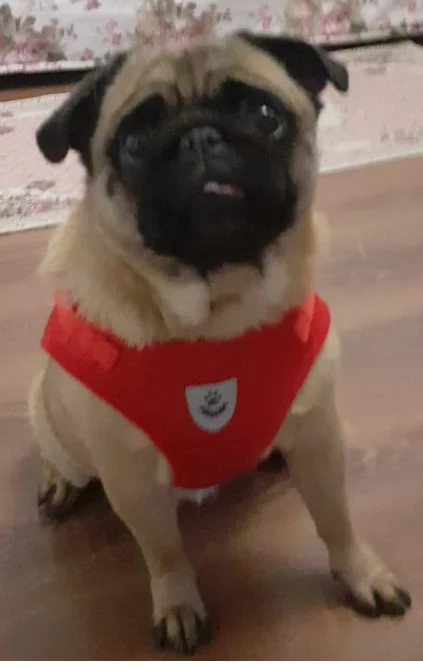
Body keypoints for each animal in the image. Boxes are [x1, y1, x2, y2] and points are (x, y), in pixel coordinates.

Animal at [29, 32, 411, 654]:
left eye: (264, 114)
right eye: (134, 142)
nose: (200, 136)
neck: (219, 312)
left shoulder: (321, 442)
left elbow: (337, 519)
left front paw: (361, 573)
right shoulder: (134, 484)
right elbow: (165, 554)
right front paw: (178, 605)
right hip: (53, 418)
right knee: (62, 456)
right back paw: (61, 482)